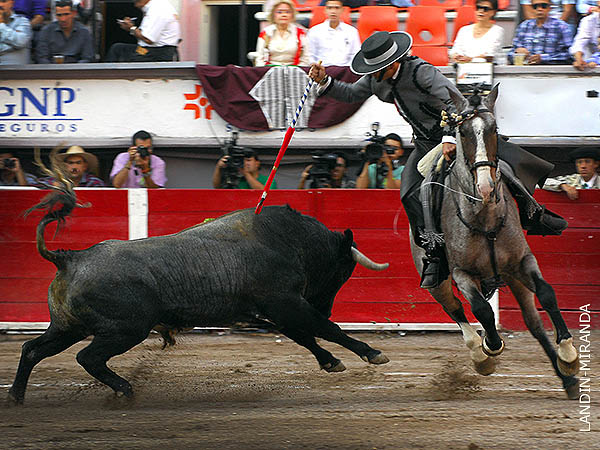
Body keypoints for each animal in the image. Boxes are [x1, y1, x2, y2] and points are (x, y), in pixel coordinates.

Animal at [11, 192, 392, 402]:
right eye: (342, 271)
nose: (325, 304)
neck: (289, 239)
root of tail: (71, 257)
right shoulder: (286, 303)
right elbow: (326, 328)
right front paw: (372, 353)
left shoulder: (275, 311)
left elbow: (305, 336)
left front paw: (330, 361)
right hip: (125, 330)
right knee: (88, 358)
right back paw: (125, 389)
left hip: (67, 327)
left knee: (33, 349)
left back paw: (17, 396)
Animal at [410, 83, 580, 398]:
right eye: (463, 132)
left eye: (494, 128)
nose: (487, 186)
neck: (485, 217)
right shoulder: (462, 273)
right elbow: (482, 311)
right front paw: (490, 346)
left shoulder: (523, 261)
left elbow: (548, 293)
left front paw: (568, 355)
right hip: (437, 281)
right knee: (454, 309)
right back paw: (479, 354)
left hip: (512, 277)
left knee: (533, 323)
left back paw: (568, 379)